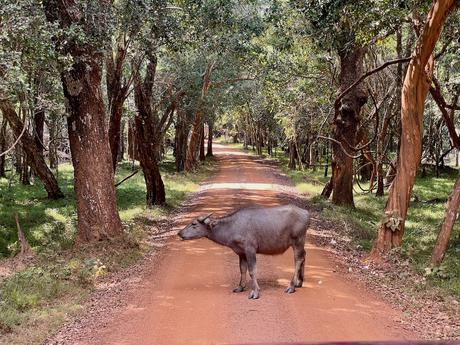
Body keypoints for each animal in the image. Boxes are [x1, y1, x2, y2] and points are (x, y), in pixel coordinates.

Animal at [178, 204, 310, 298]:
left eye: (194, 224)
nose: (179, 233)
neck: (232, 227)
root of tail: (306, 213)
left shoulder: (250, 249)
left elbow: (252, 271)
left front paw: (255, 292)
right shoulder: (241, 252)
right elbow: (242, 269)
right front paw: (240, 287)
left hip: (298, 240)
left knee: (298, 259)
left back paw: (291, 287)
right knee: (304, 255)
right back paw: (299, 282)